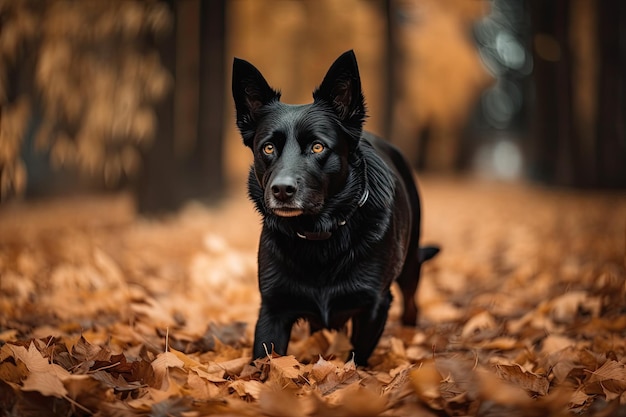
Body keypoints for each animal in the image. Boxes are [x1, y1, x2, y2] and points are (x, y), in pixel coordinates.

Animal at [232, 50, 436, 366]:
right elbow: (264, 361)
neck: (318, 235)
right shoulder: (273, 309)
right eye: (268, 148)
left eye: (317, 147)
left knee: (412, 303)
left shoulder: (373, 305)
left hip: (411, 265)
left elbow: (356, 360)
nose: (281, 190)